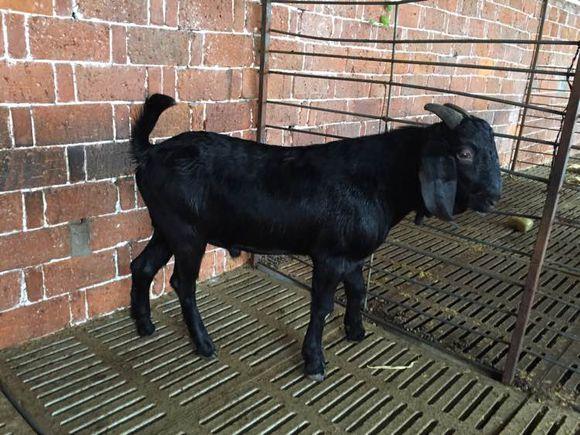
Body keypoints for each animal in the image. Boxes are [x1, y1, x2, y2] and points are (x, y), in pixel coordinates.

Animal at [129, 94, 501, 381]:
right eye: (464, 153)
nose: (494, 197)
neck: (378, 181)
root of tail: (151, 153)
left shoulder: (352, 255)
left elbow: (358, 289)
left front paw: (355, 331)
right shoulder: (330, 256)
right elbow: (322, 305)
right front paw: (315, 363)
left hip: (164, 227)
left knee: (142, 266)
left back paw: (144, 325)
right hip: (187, 233)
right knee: (181, 283)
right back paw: (204, 345)